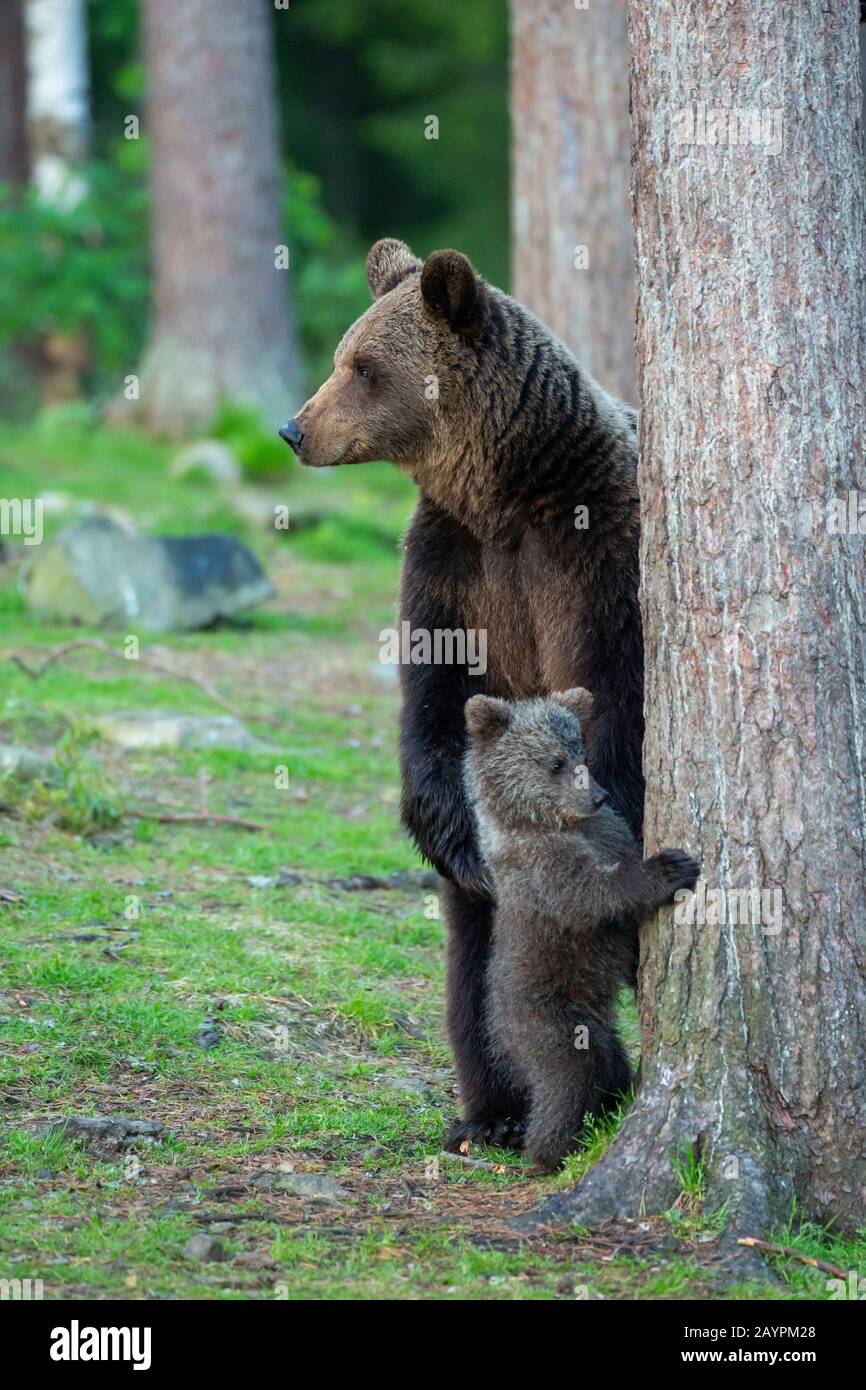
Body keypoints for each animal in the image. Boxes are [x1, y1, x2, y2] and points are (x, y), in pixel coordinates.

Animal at [280, 238, 644, 1150]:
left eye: (362, 366)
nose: (295, 427)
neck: (504, 495)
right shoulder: (453, 566)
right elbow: (435, 706)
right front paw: (456, 840)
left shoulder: (593, 553)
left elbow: (614, 697)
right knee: (475, 967)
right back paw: (496, 1111)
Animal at [463, 687, 699, 1173]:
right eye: (555, 762)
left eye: (580, 752)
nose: (599, 796)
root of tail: (502, 1030)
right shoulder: (543, 871)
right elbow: (596, 895)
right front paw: (669, 868)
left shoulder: (609, 832)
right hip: (546, 1015)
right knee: (569, 1074)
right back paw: (551, 1147)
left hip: (596, 1025)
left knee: (609, 1061)